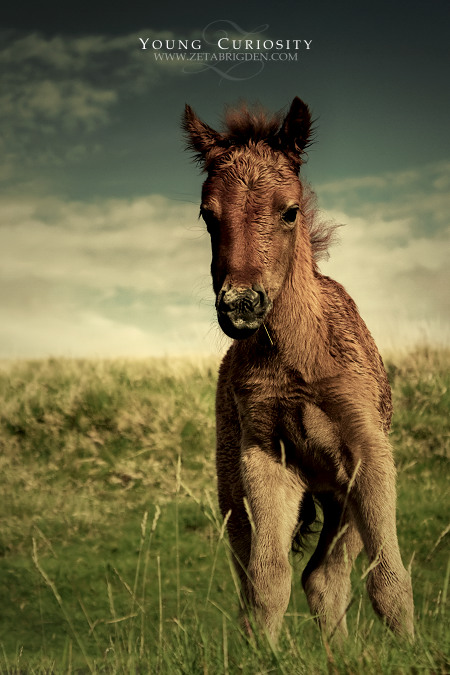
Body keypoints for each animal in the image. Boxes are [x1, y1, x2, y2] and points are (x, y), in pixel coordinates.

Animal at [184, 97, 414, 640]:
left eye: (289, 211)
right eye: (207, 215)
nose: (240, 306)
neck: (299, 362)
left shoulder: (369, 453)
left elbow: (389, 580)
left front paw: (415, 650)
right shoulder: (265, 460)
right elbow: (268, 582)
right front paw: (264, 654)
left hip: (340, 499)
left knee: (327, 577)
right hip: (234, 493)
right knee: (276, 578)